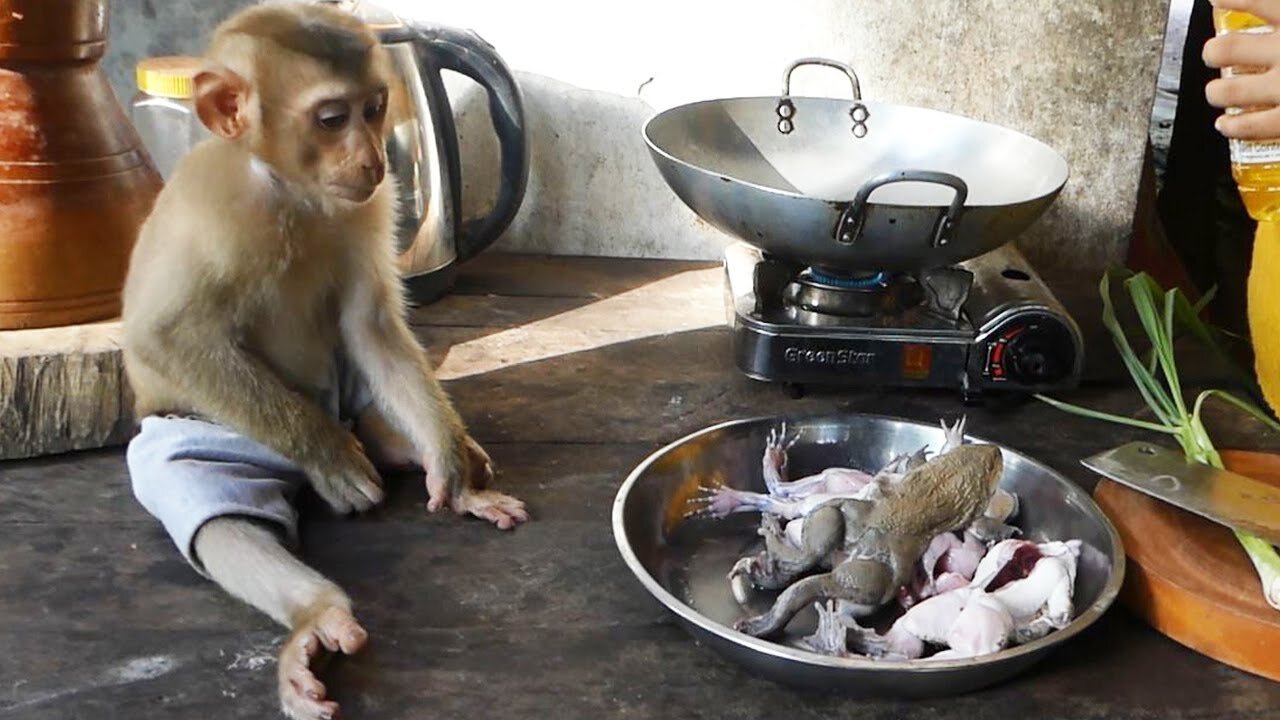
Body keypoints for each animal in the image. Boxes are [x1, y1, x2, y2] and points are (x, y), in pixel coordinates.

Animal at [116, 2, 524, 712]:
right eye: (332, 117)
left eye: (376, 107)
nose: (372, 157)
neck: (286, 187)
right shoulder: (210, 207)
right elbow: (165, 336)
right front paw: (330, 456)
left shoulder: (371, 205)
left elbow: (372, 324)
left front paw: (446, 461)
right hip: (203, 429)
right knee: (217, 509)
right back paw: (316, 616)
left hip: (350, 388)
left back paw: (415, 447)